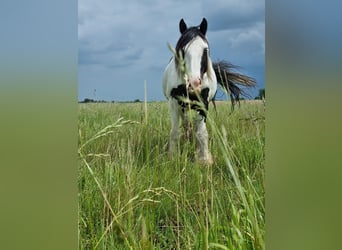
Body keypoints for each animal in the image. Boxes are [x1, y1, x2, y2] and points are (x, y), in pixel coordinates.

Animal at [163, 18, 256, 165]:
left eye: (205, 50)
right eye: (182, 50)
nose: (194, 84)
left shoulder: (204, 103)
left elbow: (201, 133)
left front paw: (204, 159)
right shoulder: (173, 102)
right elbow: (174, 132)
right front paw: (172, 157)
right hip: (183, 106)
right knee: (185, 123)